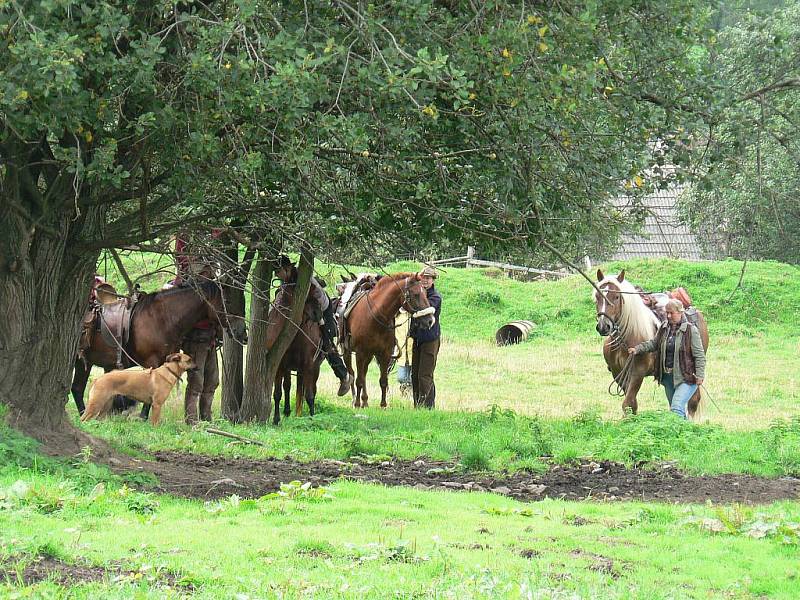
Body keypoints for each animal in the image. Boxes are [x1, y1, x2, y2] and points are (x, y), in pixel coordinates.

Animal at [72, 280, 247, 418]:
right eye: (228, 301)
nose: (242, 333)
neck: (162, 318)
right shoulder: (153, 362)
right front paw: (143, 417)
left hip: (83, 362)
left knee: (77, 389)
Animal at [266, 264, 322, 426]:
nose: (318, 313)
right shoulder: (278, 364)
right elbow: (278, 393)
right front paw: (276, 419)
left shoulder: (309, 365)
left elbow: (309, 394)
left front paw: (312, 418)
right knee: (288, 386)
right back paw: (287, 411)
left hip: (312, 368)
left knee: (310, 389)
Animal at [340, 274, 434, 410]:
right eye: (416, 294)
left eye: (426, 294)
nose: (430, 320)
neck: (376, 316)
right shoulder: (360, 353)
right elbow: (359, 380)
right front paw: (357, 404)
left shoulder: (385, 354)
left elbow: (383, 381)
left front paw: (383, 405)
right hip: (348, 352)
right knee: (352, 374)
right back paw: (355, 400)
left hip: (369, 355)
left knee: (364, 374)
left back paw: (365, 401)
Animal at [592, 270, 712, 418]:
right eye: (597, 296)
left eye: (616, 297)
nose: (603, 326)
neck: (626, 338)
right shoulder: (618, 374)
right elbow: (632, 405)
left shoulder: (637, 373)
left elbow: (627, 404)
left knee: (693, 401)